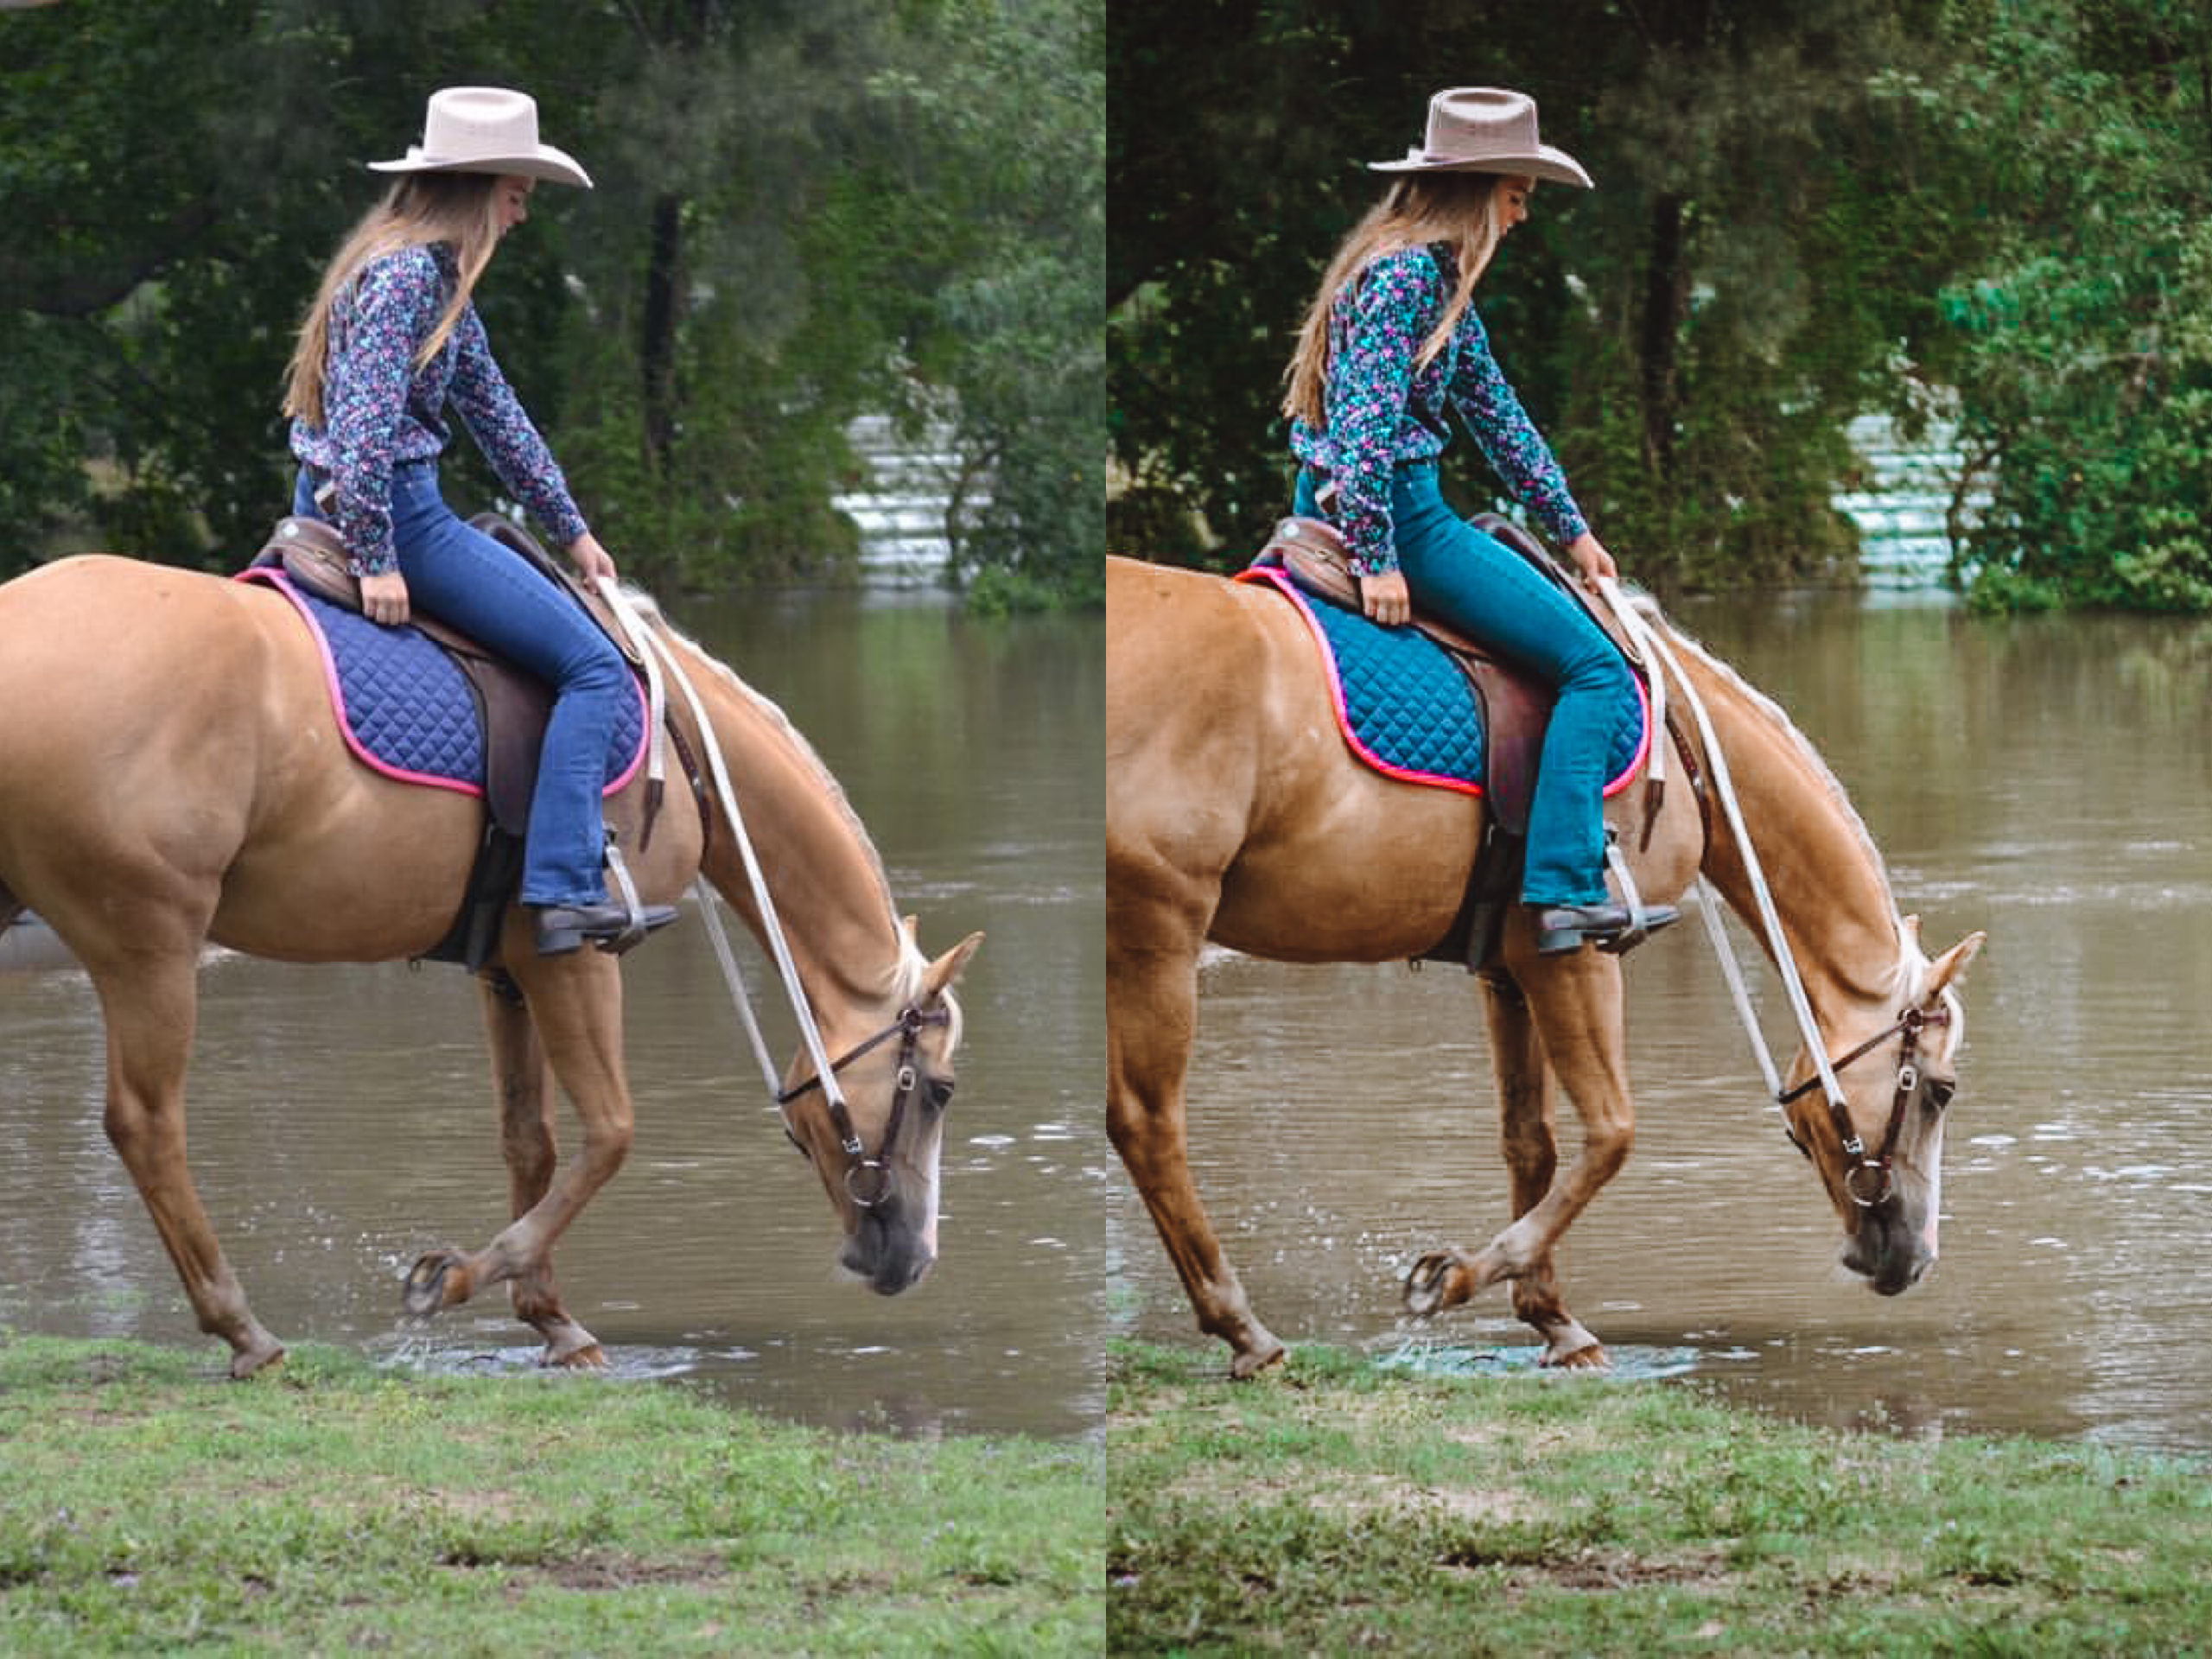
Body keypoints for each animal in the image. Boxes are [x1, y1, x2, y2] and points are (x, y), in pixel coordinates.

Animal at [0, 553, 982, 1378]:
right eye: (937, 1090)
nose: (913, 1259)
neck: (676, 741)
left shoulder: (508, 965)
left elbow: (531, 1140)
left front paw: (550, 1317)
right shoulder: (579, 959)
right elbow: (610, 1133)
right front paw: (462, 1276)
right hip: (149, 948)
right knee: (147, 1126)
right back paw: (243, 1330)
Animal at [1105, 553, 1984, 1377]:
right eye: (1939, 1091)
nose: (1917, 1258)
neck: (1680, 748)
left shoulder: (1509, 967)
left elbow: (1533, 1142)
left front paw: (1552, 1320)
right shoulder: (1578, 958)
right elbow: (1612, 1133)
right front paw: (1454, 1279)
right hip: (1160, 932)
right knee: (1149, 1124)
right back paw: (1246, 1334)